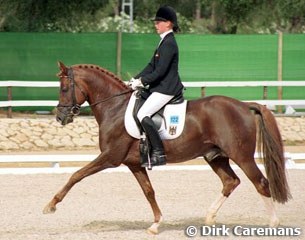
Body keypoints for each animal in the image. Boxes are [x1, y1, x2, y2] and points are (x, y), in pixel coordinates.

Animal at [43, 62, 290, 234]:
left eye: (64, 88)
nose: (60, 117)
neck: (115, 107)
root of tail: (245, 106)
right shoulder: (134, 164)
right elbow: (148, 191)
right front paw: (156, 224)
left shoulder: (110, 157)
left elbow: (76, 175)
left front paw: (50, 206)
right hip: (215, 156)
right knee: (231, 181)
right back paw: (209, 218)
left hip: (242, 156)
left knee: (260, 183)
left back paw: (273, 224)